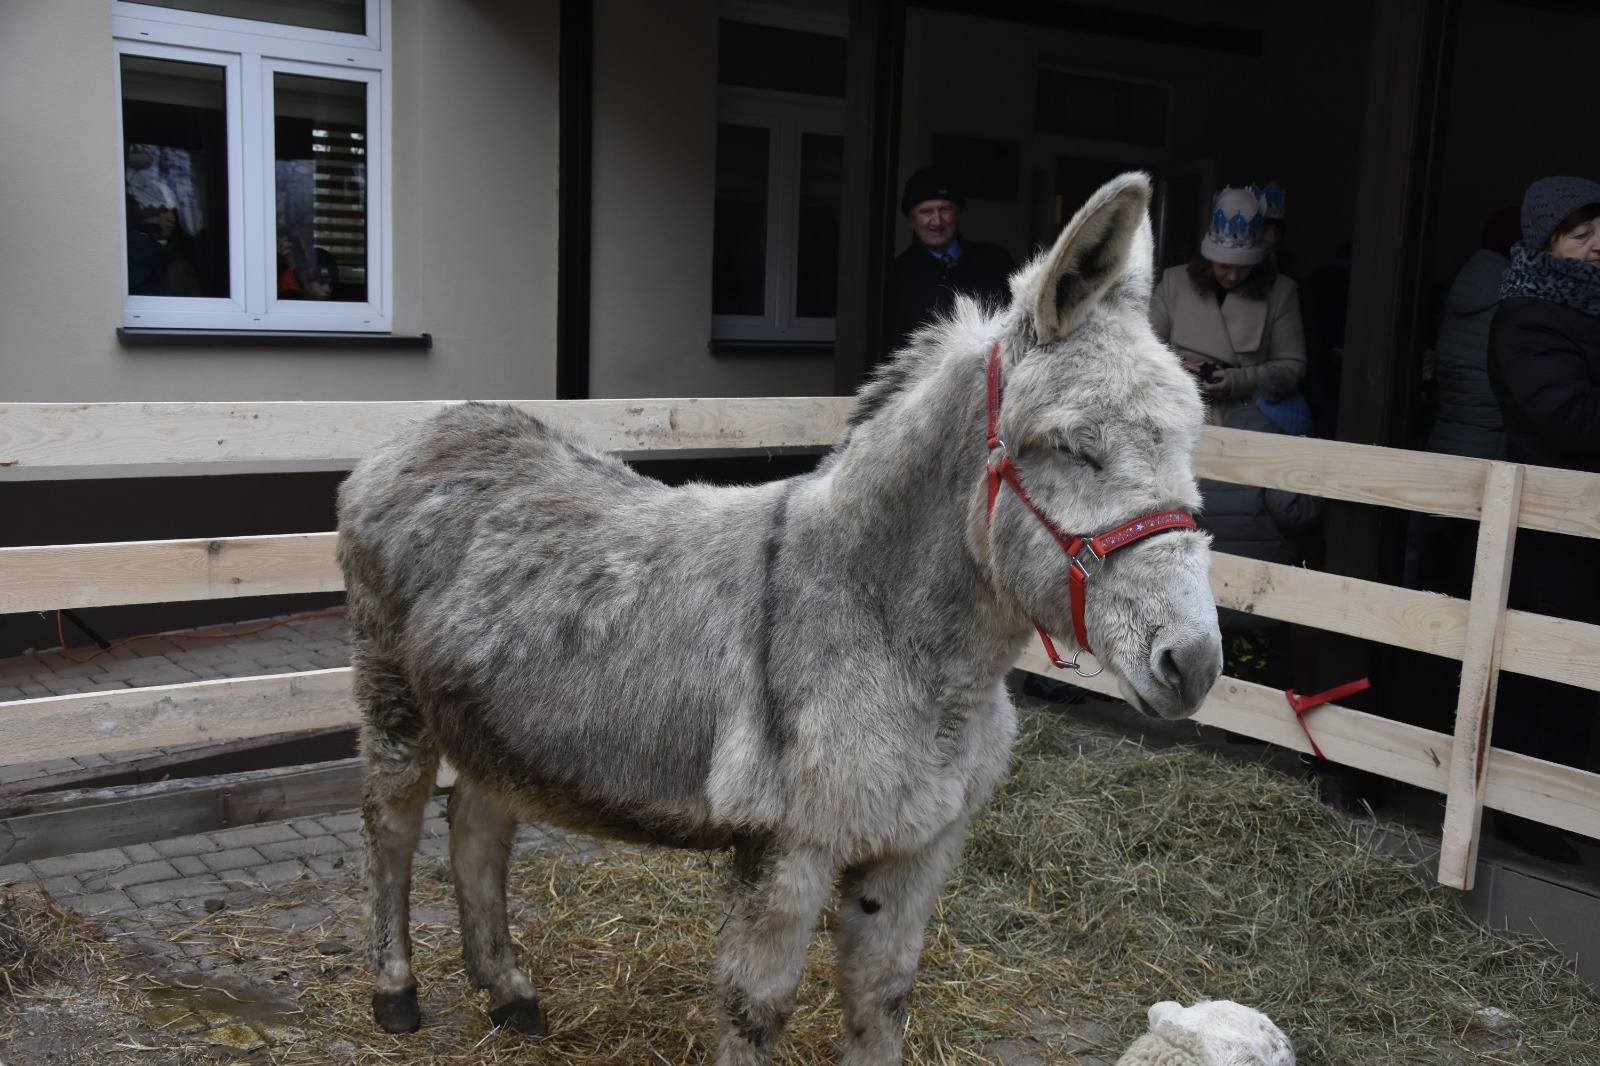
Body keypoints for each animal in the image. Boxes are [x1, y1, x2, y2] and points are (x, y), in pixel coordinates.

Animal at [335, 171, 1222, 1065]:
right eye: (1075, 447)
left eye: (1190, 442)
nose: (1195, 664)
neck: (888, 628)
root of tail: (433, 425)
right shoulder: (787, 848)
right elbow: (754, 1009)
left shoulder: (916, 848)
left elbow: (882, 997)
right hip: (391, 692)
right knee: (390, 827)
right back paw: (396, 991)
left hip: (501, 725)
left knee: (477, 824)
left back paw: (508, 991)